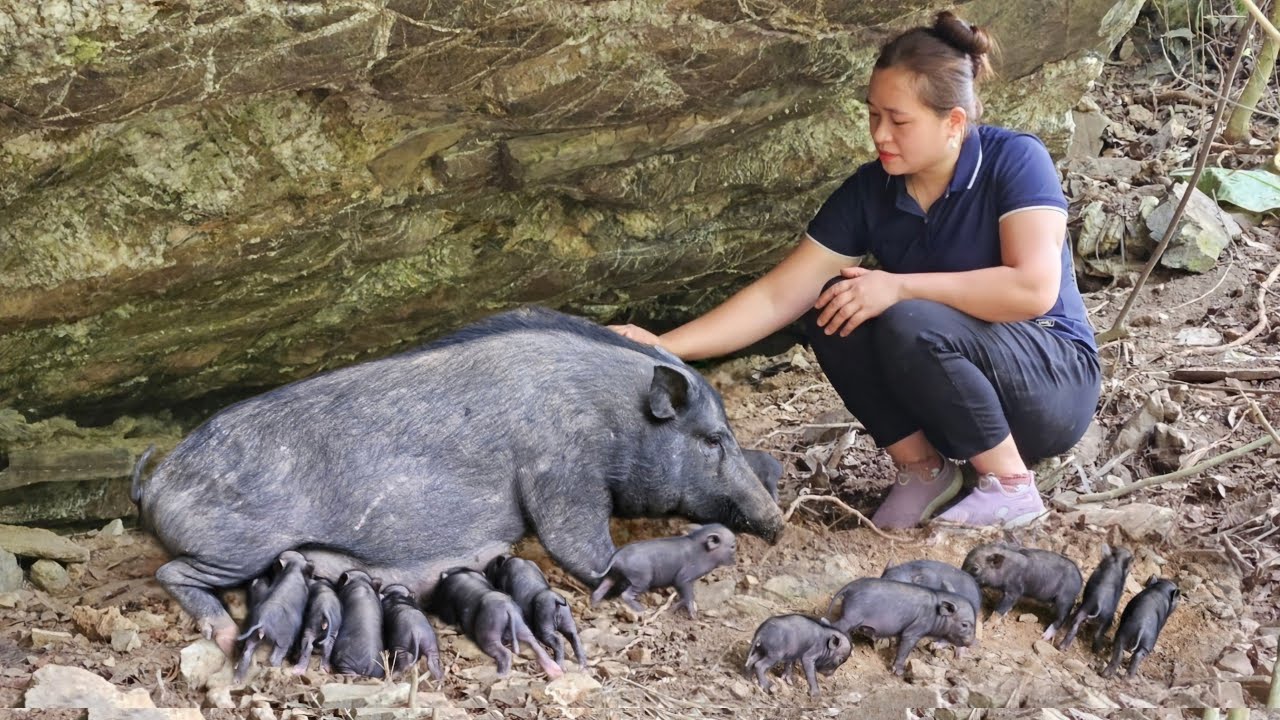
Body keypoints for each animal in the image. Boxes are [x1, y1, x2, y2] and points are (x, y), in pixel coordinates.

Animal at [234, 550, 310, 682]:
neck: (293, 569)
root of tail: (262, 621)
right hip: (283, 640)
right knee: (275, 657)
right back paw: (280, 671)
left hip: (253, 636)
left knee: (246, 653)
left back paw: (236, 680)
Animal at [431, 567, 563, 678]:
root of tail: (508, 609)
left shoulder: (447, 605)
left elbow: (448, 616)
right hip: (520, 624)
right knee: (534, 643)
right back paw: (557, 672)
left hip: (488, 629)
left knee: (505, 652)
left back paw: (499, 674)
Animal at [588, 524, 736, 618]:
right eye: (733, 546)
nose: (734, 562)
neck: (704, 552)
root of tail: (616, 556)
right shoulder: (684, 578)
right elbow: (689, 596)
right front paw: (694, 616)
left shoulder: (680, 583)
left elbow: (684, 596)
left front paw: (671, 610)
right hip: (642, 579)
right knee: (625, 595)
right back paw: (642, 610)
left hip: (614, 575)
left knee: (600, 590)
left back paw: (595, 608)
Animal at [826, 577, 975, 675]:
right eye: (965, 624)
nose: (971, 643)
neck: (936, 613)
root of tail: (850, 586)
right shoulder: (915, 630)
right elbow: (905, 649)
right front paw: (899, 673)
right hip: (852, 615)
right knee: (835, 625)